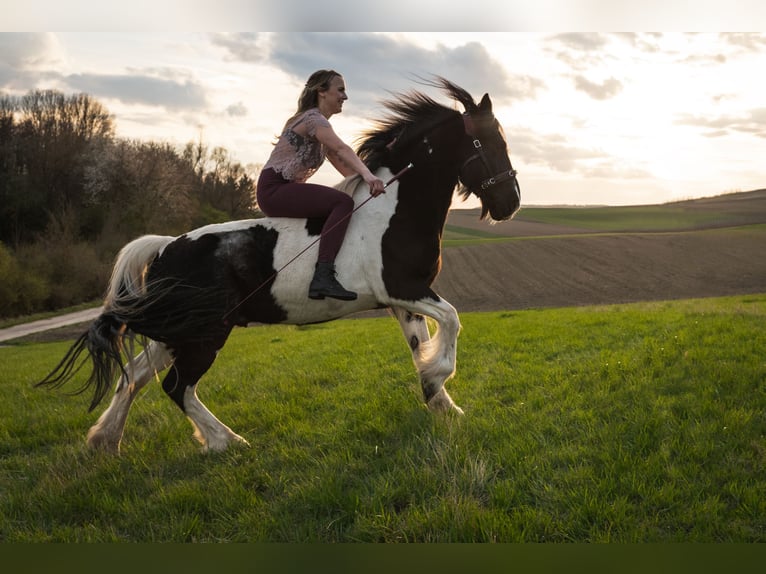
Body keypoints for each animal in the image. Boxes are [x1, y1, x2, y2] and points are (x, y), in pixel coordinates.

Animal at [36, 77, 521, 453]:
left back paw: (105, 441)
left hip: (180, 331)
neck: (395, 210)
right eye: (486, 142)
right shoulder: (404, 288)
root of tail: (166, 248)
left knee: (132, 377)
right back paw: (226, 441)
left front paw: (441, 402)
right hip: (205, 333)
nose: (510, 203)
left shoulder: (402, 300)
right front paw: (438, 381)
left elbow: (422, 345)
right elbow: (452, 321)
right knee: (175, 386)